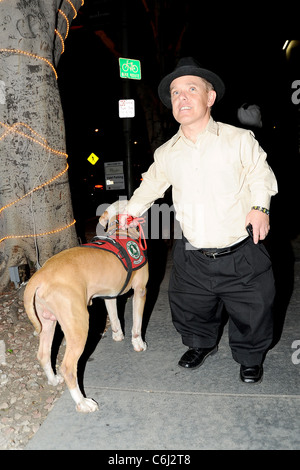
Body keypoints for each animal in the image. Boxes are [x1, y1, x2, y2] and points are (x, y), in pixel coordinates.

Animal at [24, 199, 148, 412]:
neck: (120, 231)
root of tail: (40, 275)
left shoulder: (110, 296)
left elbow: (115, 318)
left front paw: (117, 335)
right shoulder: (141, 291)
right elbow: (137, 325)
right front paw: (138, 343)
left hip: (47, 322)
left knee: (43, 354)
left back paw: (53, 379)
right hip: (79, 326)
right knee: (68, 367)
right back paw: (82, 402)